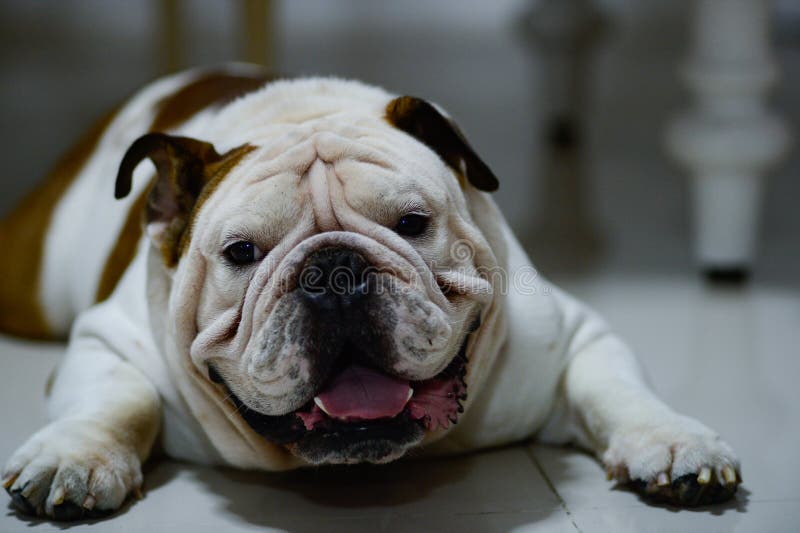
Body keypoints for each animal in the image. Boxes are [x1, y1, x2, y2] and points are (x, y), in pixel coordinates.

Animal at [0, 64, 736, 516]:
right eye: (241, 253)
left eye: (413, 223)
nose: (334, 273)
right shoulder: (104, 341)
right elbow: (116, 402)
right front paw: (75, 456)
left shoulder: (576, 336)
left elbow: (617, 388)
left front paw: (672, 442)